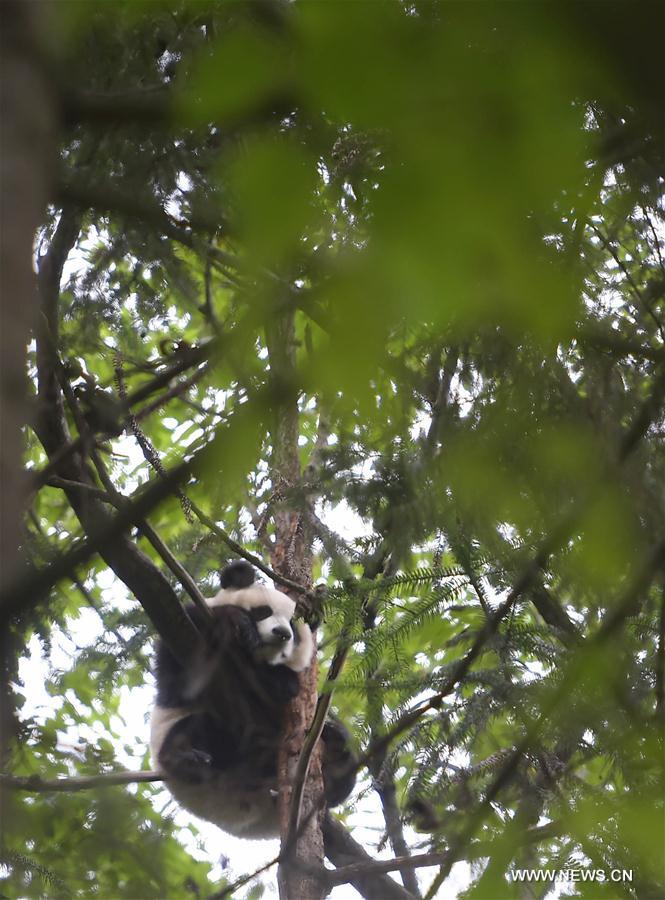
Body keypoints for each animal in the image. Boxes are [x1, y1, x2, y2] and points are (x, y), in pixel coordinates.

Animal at [150, 560, 356, 840]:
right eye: (262, 612)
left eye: (293, 626)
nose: (281, 633)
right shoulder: (184, 632)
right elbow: (179, 677)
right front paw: (239, 623)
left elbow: (285, 690)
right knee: (200, 726)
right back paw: (183, 757)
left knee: (344, 772)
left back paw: (336, 749)